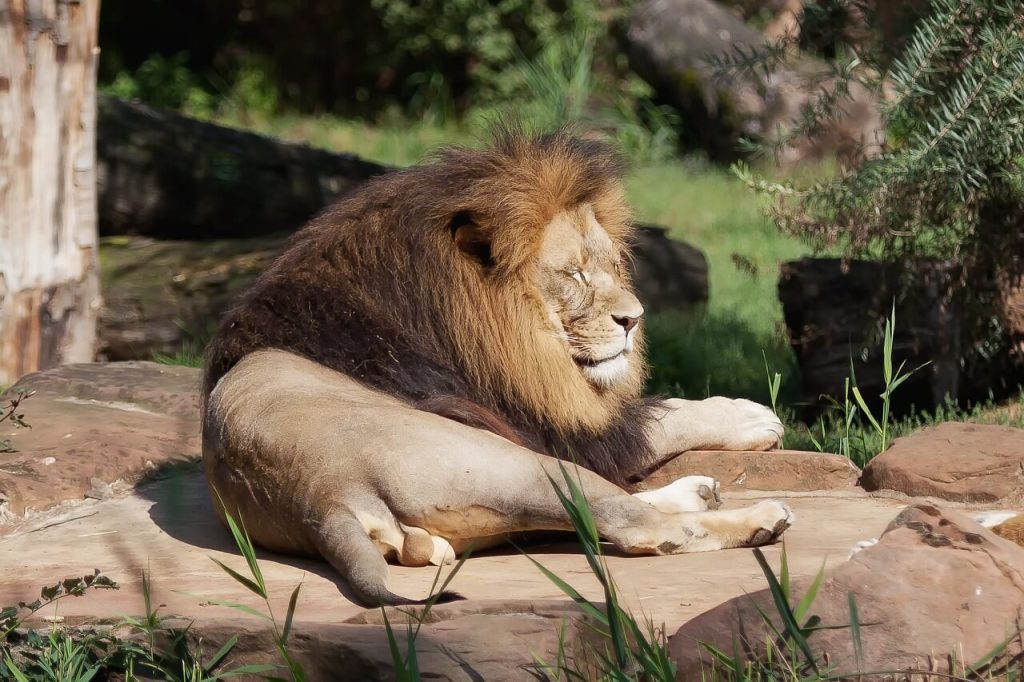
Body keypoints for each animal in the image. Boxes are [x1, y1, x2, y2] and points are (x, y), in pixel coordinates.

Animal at [199, 130, 790, 602]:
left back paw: (698, 492)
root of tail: (323, 499)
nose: (634, 319)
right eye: (574, 274)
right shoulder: (542, 422)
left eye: (610, 265)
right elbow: (657, 420)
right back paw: (762, 519)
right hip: (513, 461)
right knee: (633, 522)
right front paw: (750, 416)